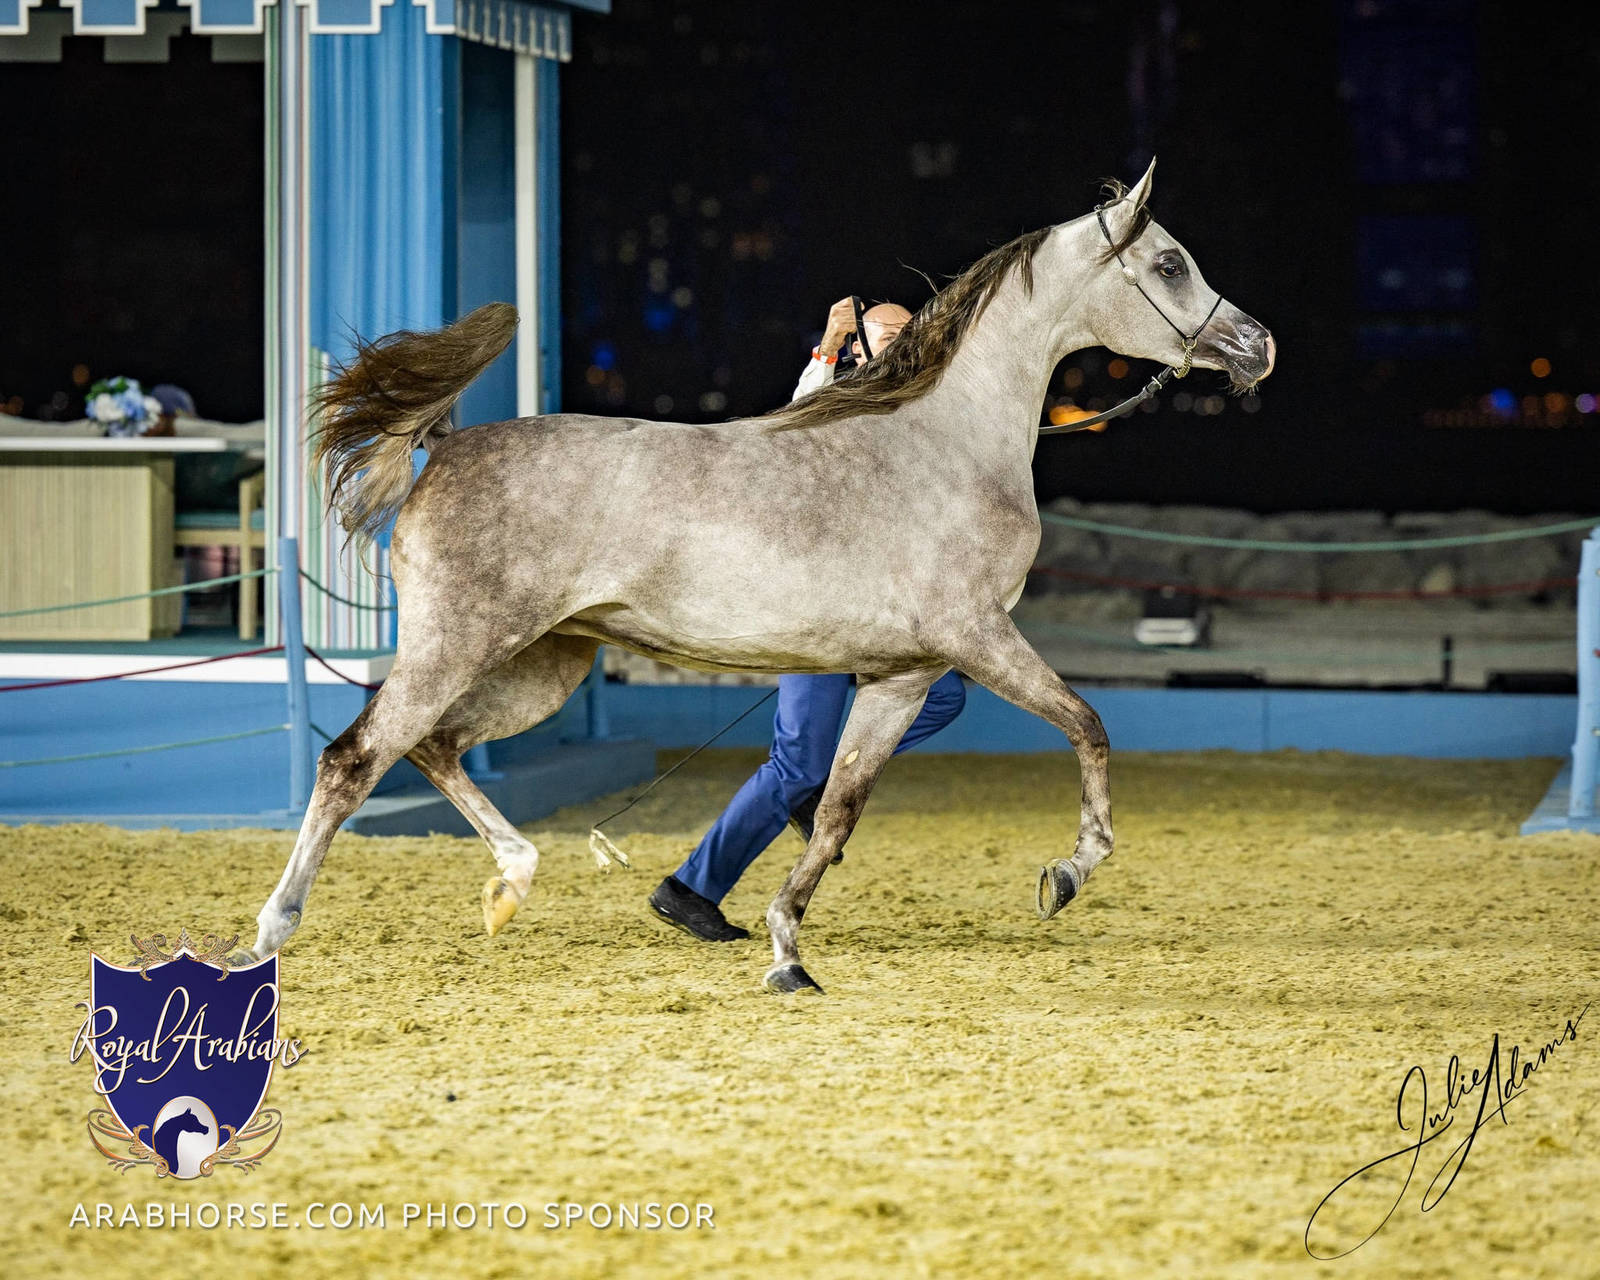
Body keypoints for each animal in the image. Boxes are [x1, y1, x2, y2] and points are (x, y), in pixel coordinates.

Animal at [243, 159, 1273, 993]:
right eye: (1171, 263)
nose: (1258, 346)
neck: (948, 440)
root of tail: (444, 450)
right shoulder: (979, 638)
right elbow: (1088, 726)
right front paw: (1066, 874)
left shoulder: (902, 676)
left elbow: (838, 811)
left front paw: (786, 952)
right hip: (457, 646)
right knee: (353, 759)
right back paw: (272, 932)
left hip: (543, 666)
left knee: (435, 747)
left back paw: (512, 885)